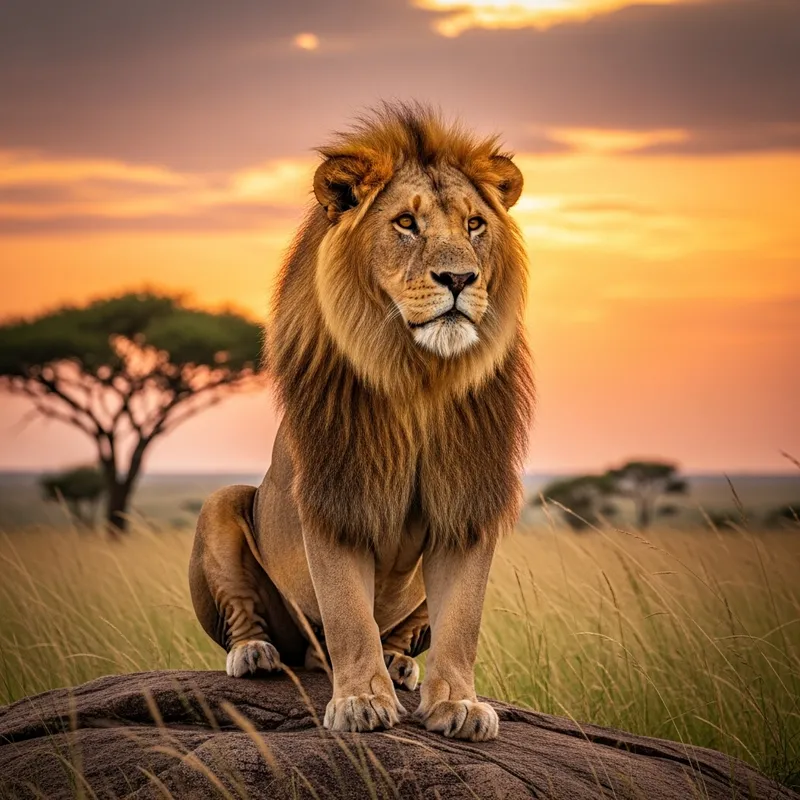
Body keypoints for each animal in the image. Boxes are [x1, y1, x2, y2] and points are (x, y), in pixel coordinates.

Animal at [189, 103, 534, 741]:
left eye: (475, 225)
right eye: (406, 223)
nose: (460, 279)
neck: (420, 378)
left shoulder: (468, 499)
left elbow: (462, 621)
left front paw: (460, 704)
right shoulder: (336, 494)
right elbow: (349, 612)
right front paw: (361, 702)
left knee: (402, 631)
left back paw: (398, 663)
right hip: (223, 503)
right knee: (256, 621)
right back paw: (255, 654)